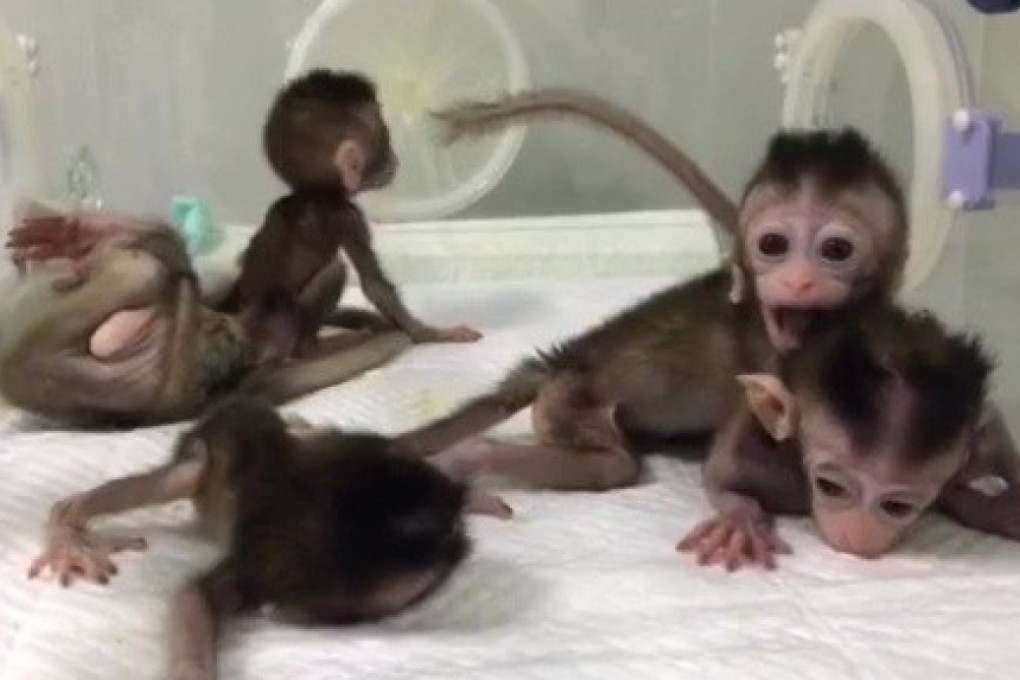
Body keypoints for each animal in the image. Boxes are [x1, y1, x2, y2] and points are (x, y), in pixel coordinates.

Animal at [26, 397, 480, 680]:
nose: (464, 534)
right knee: (183, 474)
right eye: (449, 539)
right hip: (200, 455)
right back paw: (66, 529)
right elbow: (195, 598)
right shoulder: (260, 569)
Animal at [220, 69, 481, 361]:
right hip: (282, 327)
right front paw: (432, 334)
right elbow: (374, 284)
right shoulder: (349, 218)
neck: (317, 192)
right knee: (335, 271)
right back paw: (317, 347)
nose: (396, 160)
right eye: (386, 144)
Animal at [678, 306, 1020, 570]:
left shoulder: (975, 454)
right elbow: (719, 474)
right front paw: (741, 522)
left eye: (897, 507)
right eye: (830, 487)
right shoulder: (757, 451)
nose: (856, 538)